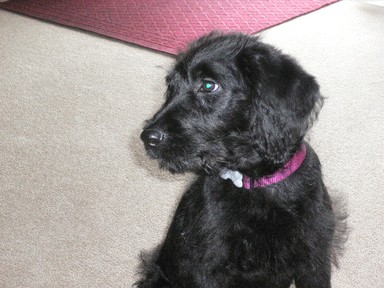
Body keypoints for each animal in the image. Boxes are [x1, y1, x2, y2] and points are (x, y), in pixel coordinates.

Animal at [136, 32, 344, 288]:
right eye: (170, 87)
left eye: (208, 85)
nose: (147, 137)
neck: (257, 183)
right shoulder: (207, 268)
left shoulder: (314, 259)